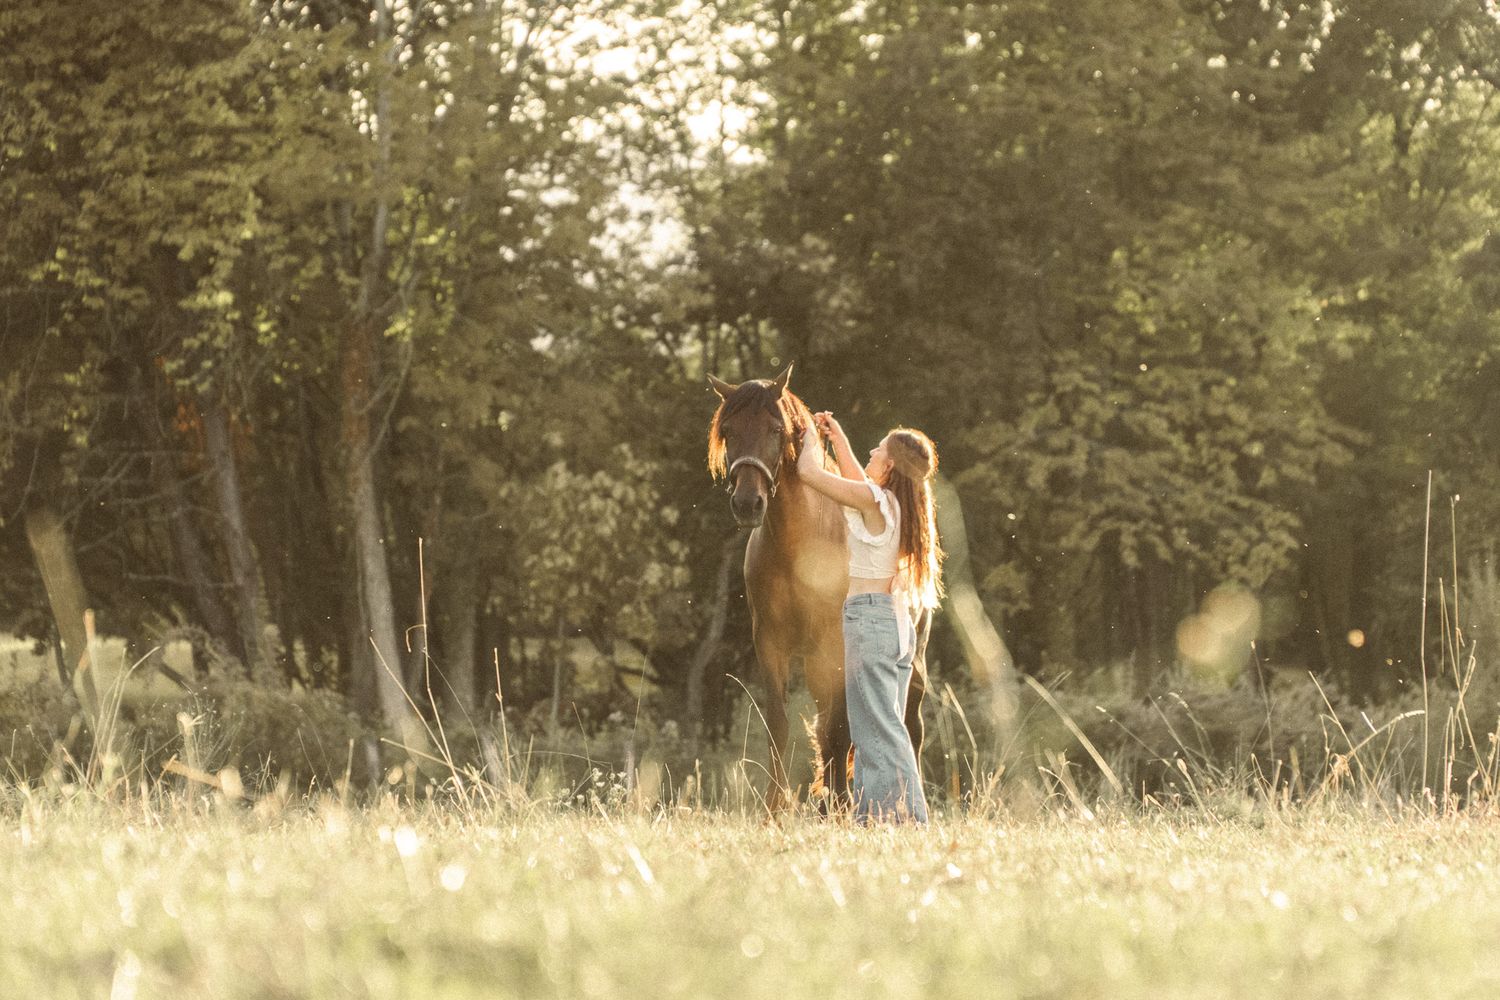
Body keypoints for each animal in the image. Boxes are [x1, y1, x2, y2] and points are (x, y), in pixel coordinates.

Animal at [707, 364, 930, 813]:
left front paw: (840, 804)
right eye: (729, 430)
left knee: (908, 726)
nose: (747, 504)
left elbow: (840, 728)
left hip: (912, 661)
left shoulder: (837, 645)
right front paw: (776, 808)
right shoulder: (771, 643)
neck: (801, 548)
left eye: (776, 429)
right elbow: (781, 723)